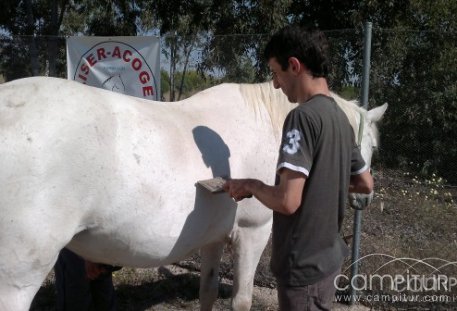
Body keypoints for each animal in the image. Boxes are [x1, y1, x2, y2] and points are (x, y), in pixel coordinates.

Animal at [0, 76, 384, 311]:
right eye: (370, 144)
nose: (365, 196)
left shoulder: (212, 237)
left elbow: (208, 290)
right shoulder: (253, 233)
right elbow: (241, 299)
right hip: (16, 280)